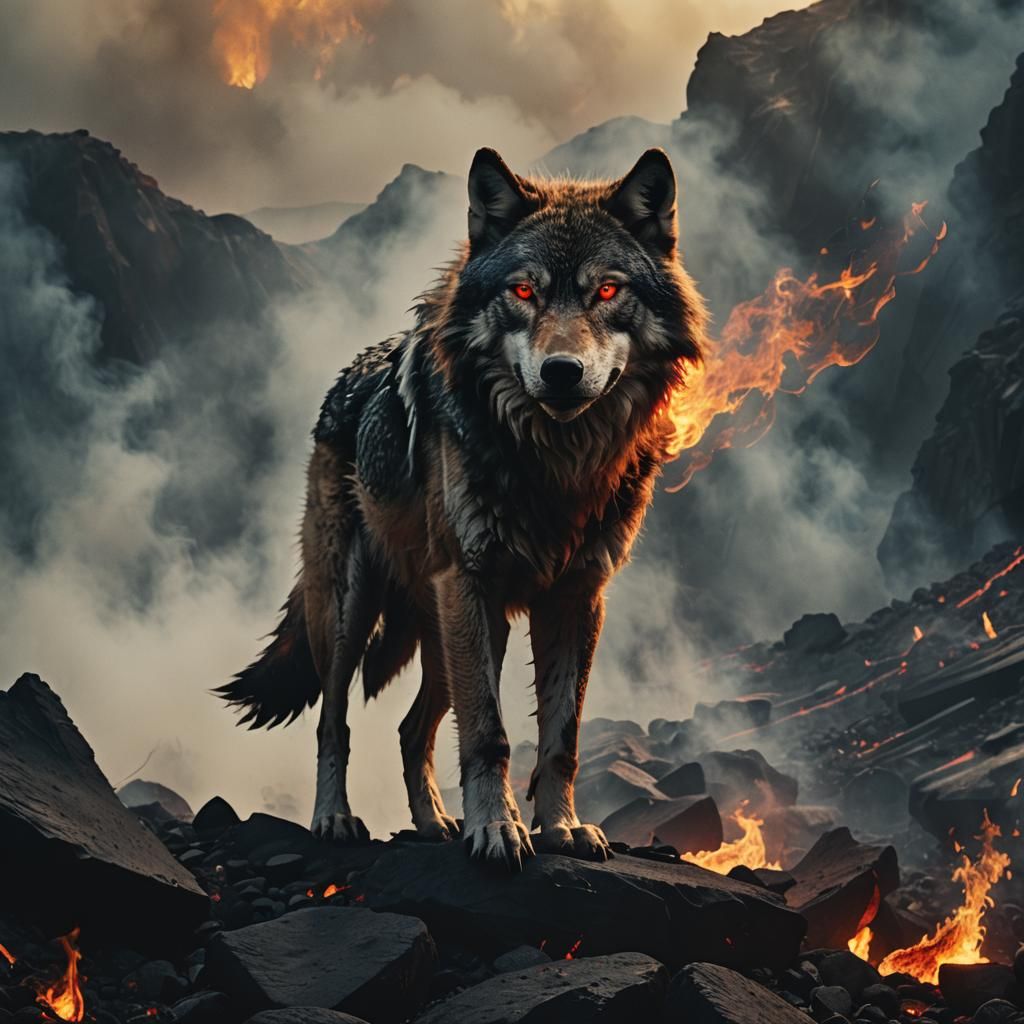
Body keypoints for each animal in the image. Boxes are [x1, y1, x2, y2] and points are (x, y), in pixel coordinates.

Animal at [217, 147, 707, 868]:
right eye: (524, 292)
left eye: (607, 291)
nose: (562, 371)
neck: (556, 464)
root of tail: (342, 382)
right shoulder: (471, 581)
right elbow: (488, 734)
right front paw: (498, 831)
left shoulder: (577, 596)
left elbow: (561, 738)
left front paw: (559, 827)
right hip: (355, 610)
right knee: (334, 721)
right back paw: (335, 818)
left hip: (462, 629)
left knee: (409, 729)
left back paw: (433, 823)